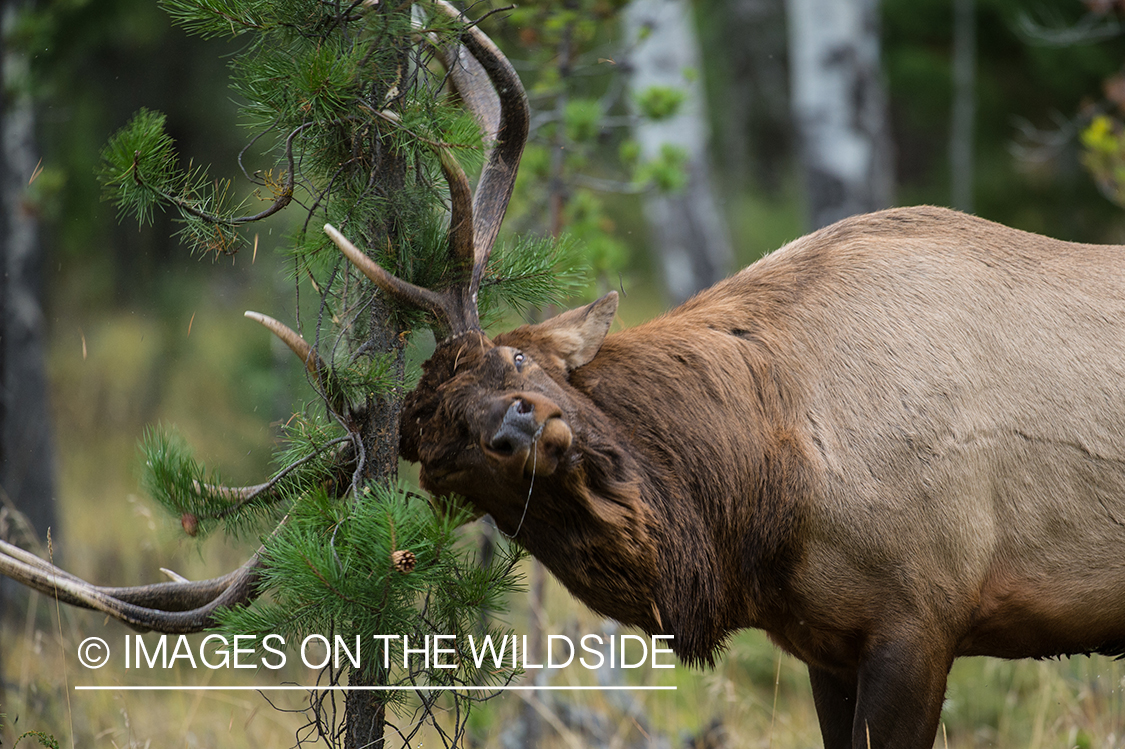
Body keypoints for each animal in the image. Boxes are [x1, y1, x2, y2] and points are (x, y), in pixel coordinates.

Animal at [2, 2, 1125, 742]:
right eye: (442, 458)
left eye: (513, 355)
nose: (514, 428)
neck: (767, 489)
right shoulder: (834, 643)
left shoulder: (921, 610)